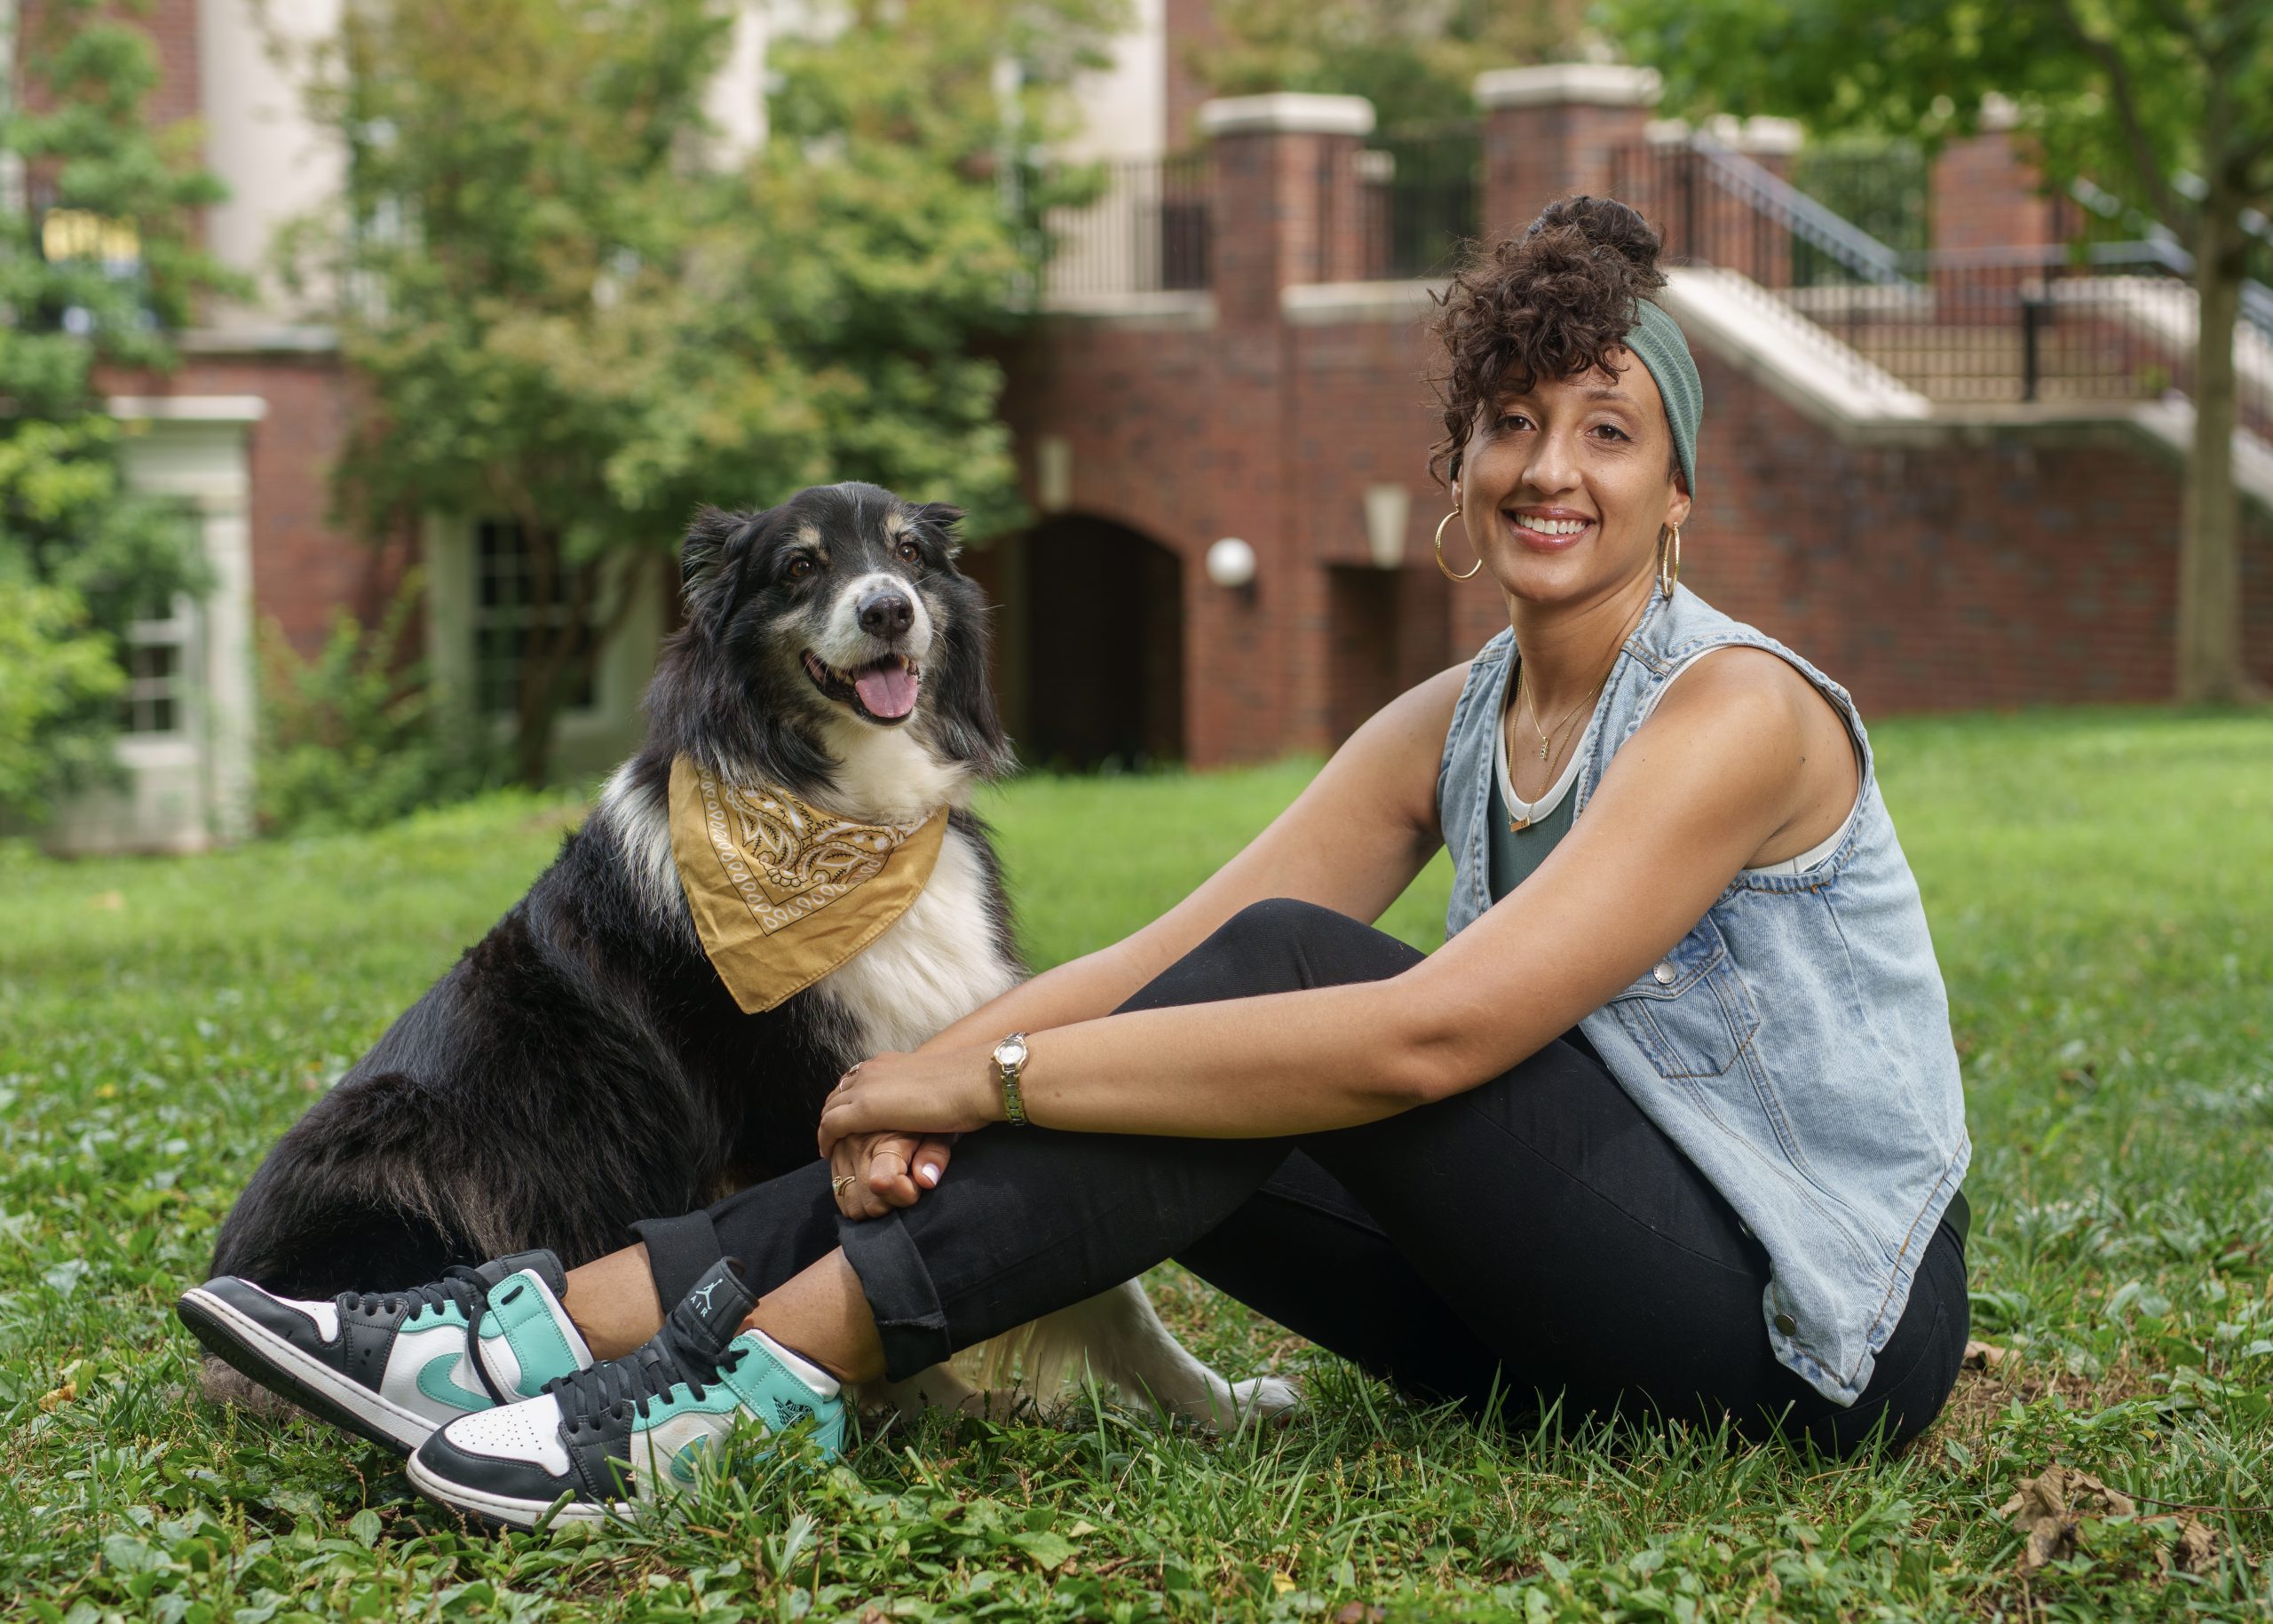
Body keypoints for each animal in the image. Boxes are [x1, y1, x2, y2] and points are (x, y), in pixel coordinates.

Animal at [213, 487, 1300, 1419]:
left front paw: (1216, 1407)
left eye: (910, 552)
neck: (840, 809)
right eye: (801, 566)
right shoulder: (790, 1102)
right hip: (410, 1143)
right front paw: (922, 1400)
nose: (889, 609)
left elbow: (1113, 1288)